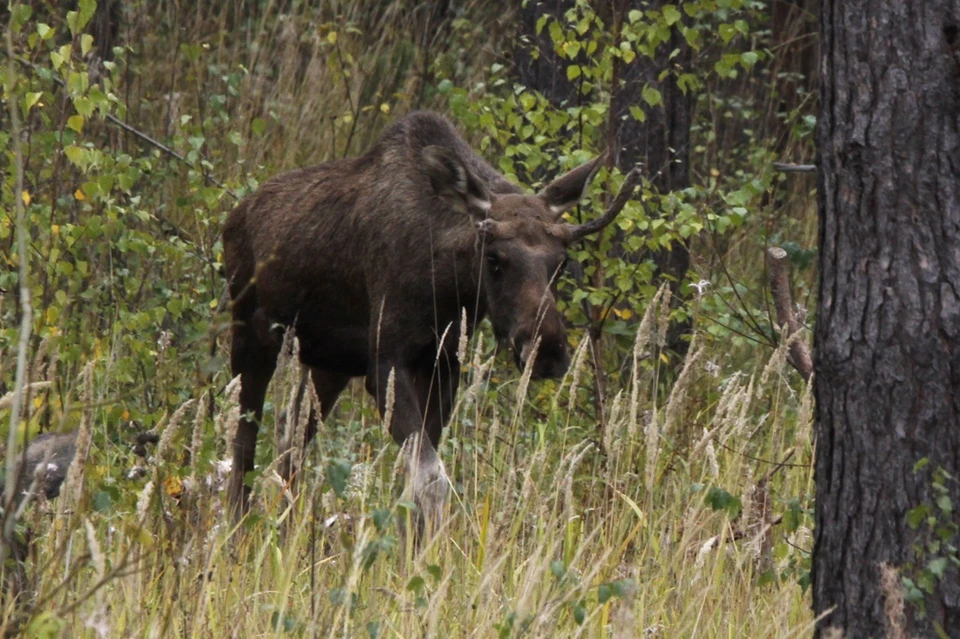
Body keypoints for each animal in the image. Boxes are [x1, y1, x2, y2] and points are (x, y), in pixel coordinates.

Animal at [223, 111, 636, 520]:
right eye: (494, 258)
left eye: (560, 262)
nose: (546, 350)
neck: (448, 287)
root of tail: (233, 219)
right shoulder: (386, 364)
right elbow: (430, 477)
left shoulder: (443, 366)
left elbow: (417, 480)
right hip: (251, 338)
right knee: (244, 440)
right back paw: (237, 524)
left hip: (329, 364)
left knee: (290, 434)